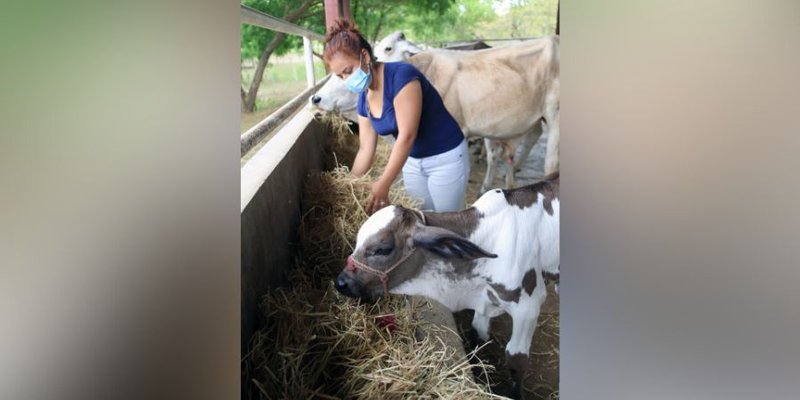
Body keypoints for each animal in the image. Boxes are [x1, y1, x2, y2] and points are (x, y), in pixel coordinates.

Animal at [334, 174, 560, 394]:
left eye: (382, 249)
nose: (341, 282)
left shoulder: (528, 307)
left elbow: (516, 359)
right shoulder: (485, 300)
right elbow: (477, 336)